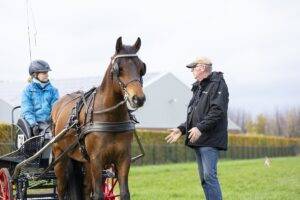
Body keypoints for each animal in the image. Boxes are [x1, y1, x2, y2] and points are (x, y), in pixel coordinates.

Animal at [51, 36, 146, 199]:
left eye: (141, 68)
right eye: (119, 69)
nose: (138, 99)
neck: (111, 118)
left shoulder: (123, 159)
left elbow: (124, 193)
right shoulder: (97, 160)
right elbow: (98, 194)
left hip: (84, 160)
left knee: (85, 189)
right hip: (60, 157)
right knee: (61, 188)